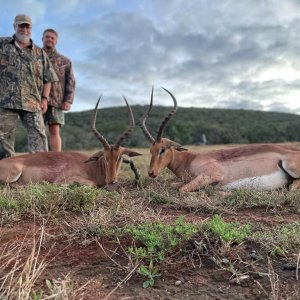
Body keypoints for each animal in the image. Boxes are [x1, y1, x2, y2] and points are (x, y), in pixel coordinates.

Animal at [139, 86, 300, 192]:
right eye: (150, 150)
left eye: (162, 149)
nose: (151, 173)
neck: (190, 160)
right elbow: (174, 185)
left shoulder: (212, 175)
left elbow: (182, 190)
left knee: (293, 186)